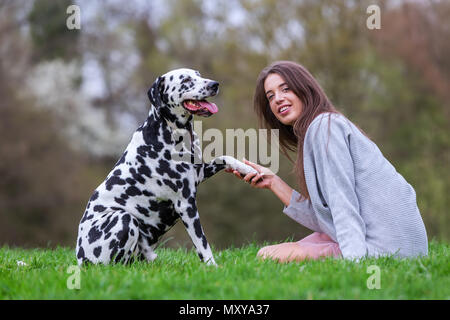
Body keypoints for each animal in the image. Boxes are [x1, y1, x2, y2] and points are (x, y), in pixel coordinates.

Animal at [76, 69, 258, 266]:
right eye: (186, 80)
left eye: (198, 74)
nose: (214, 84)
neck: (173, 133)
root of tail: (80, 257)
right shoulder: (186, 204)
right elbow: (202, 243)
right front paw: (213, 266)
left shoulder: (199, 173)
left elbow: (225, 157)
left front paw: (249, 170)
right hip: (124, 218)